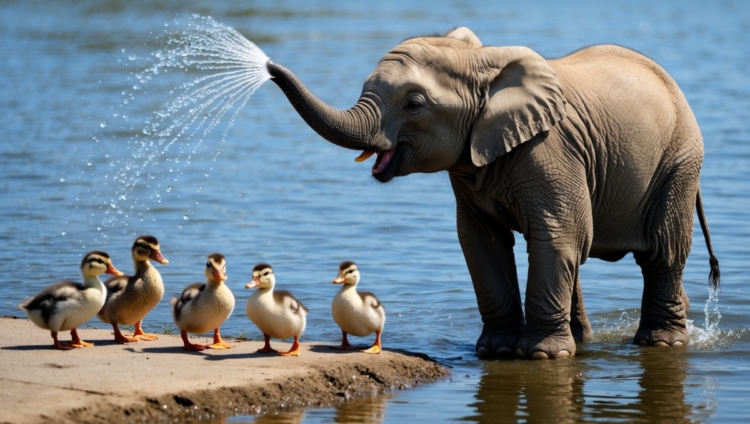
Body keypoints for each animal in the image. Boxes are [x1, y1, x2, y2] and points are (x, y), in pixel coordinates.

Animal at [264, 27, 720, 359]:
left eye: (414, 104)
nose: (267, 64)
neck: (481, 66)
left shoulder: (549, 151)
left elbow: (557, 236)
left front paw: (541, 357)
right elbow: (482, 243)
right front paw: (496, 351)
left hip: (679, 163)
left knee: (661, 252)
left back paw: (660, 343)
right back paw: (589, 341)